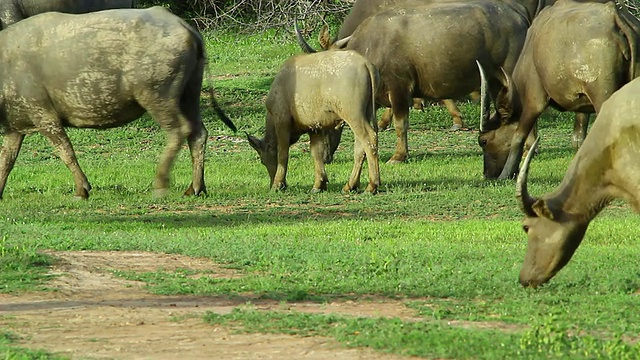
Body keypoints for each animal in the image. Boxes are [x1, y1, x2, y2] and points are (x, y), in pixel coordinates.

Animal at [0, 7, 238, 200]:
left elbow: (65, 151)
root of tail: (186, 28)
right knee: (198, 133)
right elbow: (7, 159)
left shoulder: (44, 115)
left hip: (157, 95)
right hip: (190, 93)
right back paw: (195, 187)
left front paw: (82, 189)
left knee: (179, 131)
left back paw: (160, 184)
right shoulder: (14, 127)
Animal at [248, 50, 380, 194]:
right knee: (360, 147)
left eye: (263, 160)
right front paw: (319, 184)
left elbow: (283, 153)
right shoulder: (315, 128)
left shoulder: (282, 120)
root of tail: (366, 63)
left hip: (353, 113)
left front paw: (278, 184)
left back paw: (372, 185)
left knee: (370, 139)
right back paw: (350, 185)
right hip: (365, 112)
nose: (271, 182)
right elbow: (316, 153)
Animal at [480, 0, 640, 179]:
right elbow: (578, 139)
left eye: (483, 141)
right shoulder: (582, 104)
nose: (487, 175)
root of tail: (616, 18)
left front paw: (505, 174)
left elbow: (518, 137)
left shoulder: (534, 100)